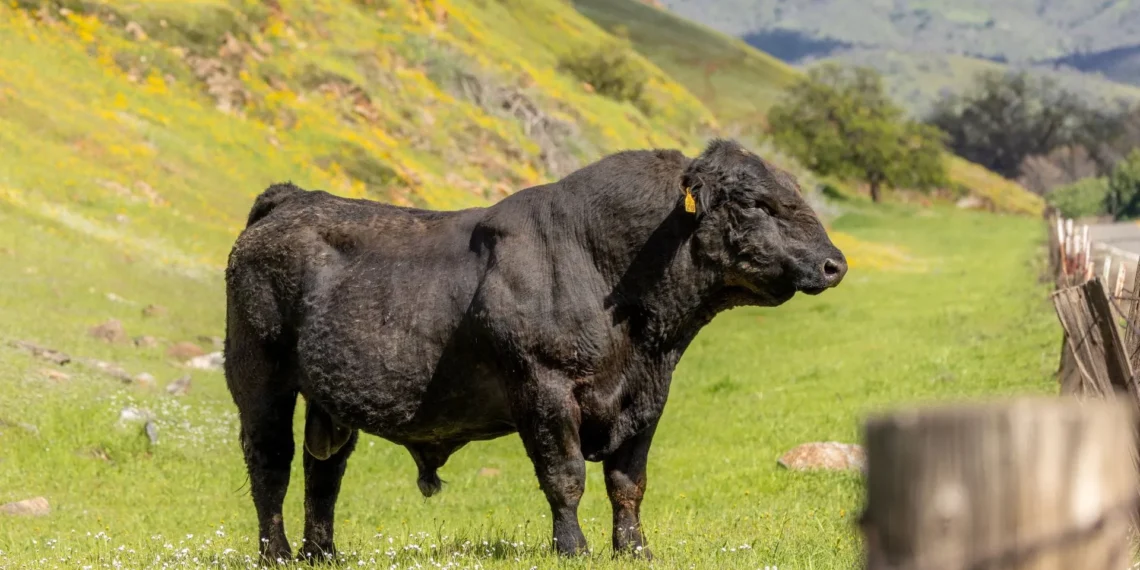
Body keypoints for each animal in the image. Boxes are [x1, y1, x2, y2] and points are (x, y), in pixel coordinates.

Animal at [222, 138, 847, 564]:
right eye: (756, 202)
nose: (833, 263)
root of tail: (291, 200)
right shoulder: (543, 389)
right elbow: (564, 476)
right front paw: (574, 547)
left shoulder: (647, 399)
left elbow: (628, 481)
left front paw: (635, 549)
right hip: (260, 379)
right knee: (271, 464)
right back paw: (278, 553)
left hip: (329, 400)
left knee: (323, 470)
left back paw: (322, 553)